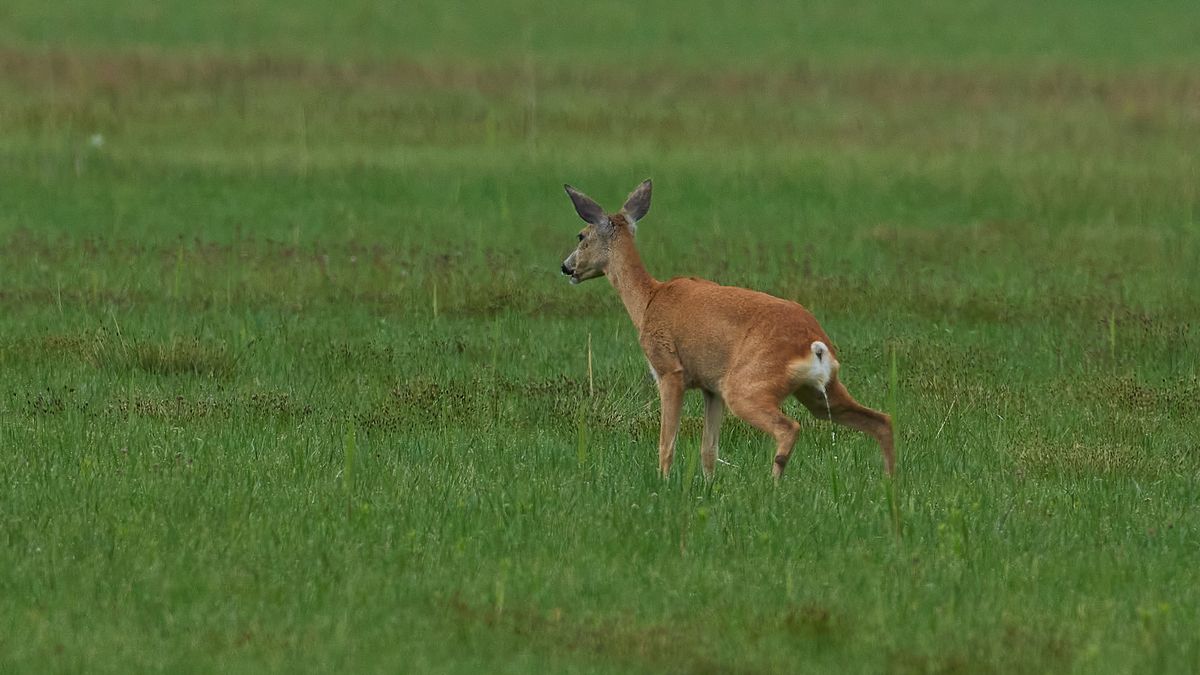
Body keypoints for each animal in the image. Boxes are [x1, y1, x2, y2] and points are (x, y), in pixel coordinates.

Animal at [559, 178, 892, 478]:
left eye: (581, 235)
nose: (566, 267)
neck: (648, 301)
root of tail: (815, 344)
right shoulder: (711, 387)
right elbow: (708, 450)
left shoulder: (669, 370)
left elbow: (667, 444)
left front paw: (663, 483)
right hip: (819, 391)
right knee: (882, 421)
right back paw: (890, 482)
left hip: (747, 385)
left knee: (789, 428)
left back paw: (772, 485)